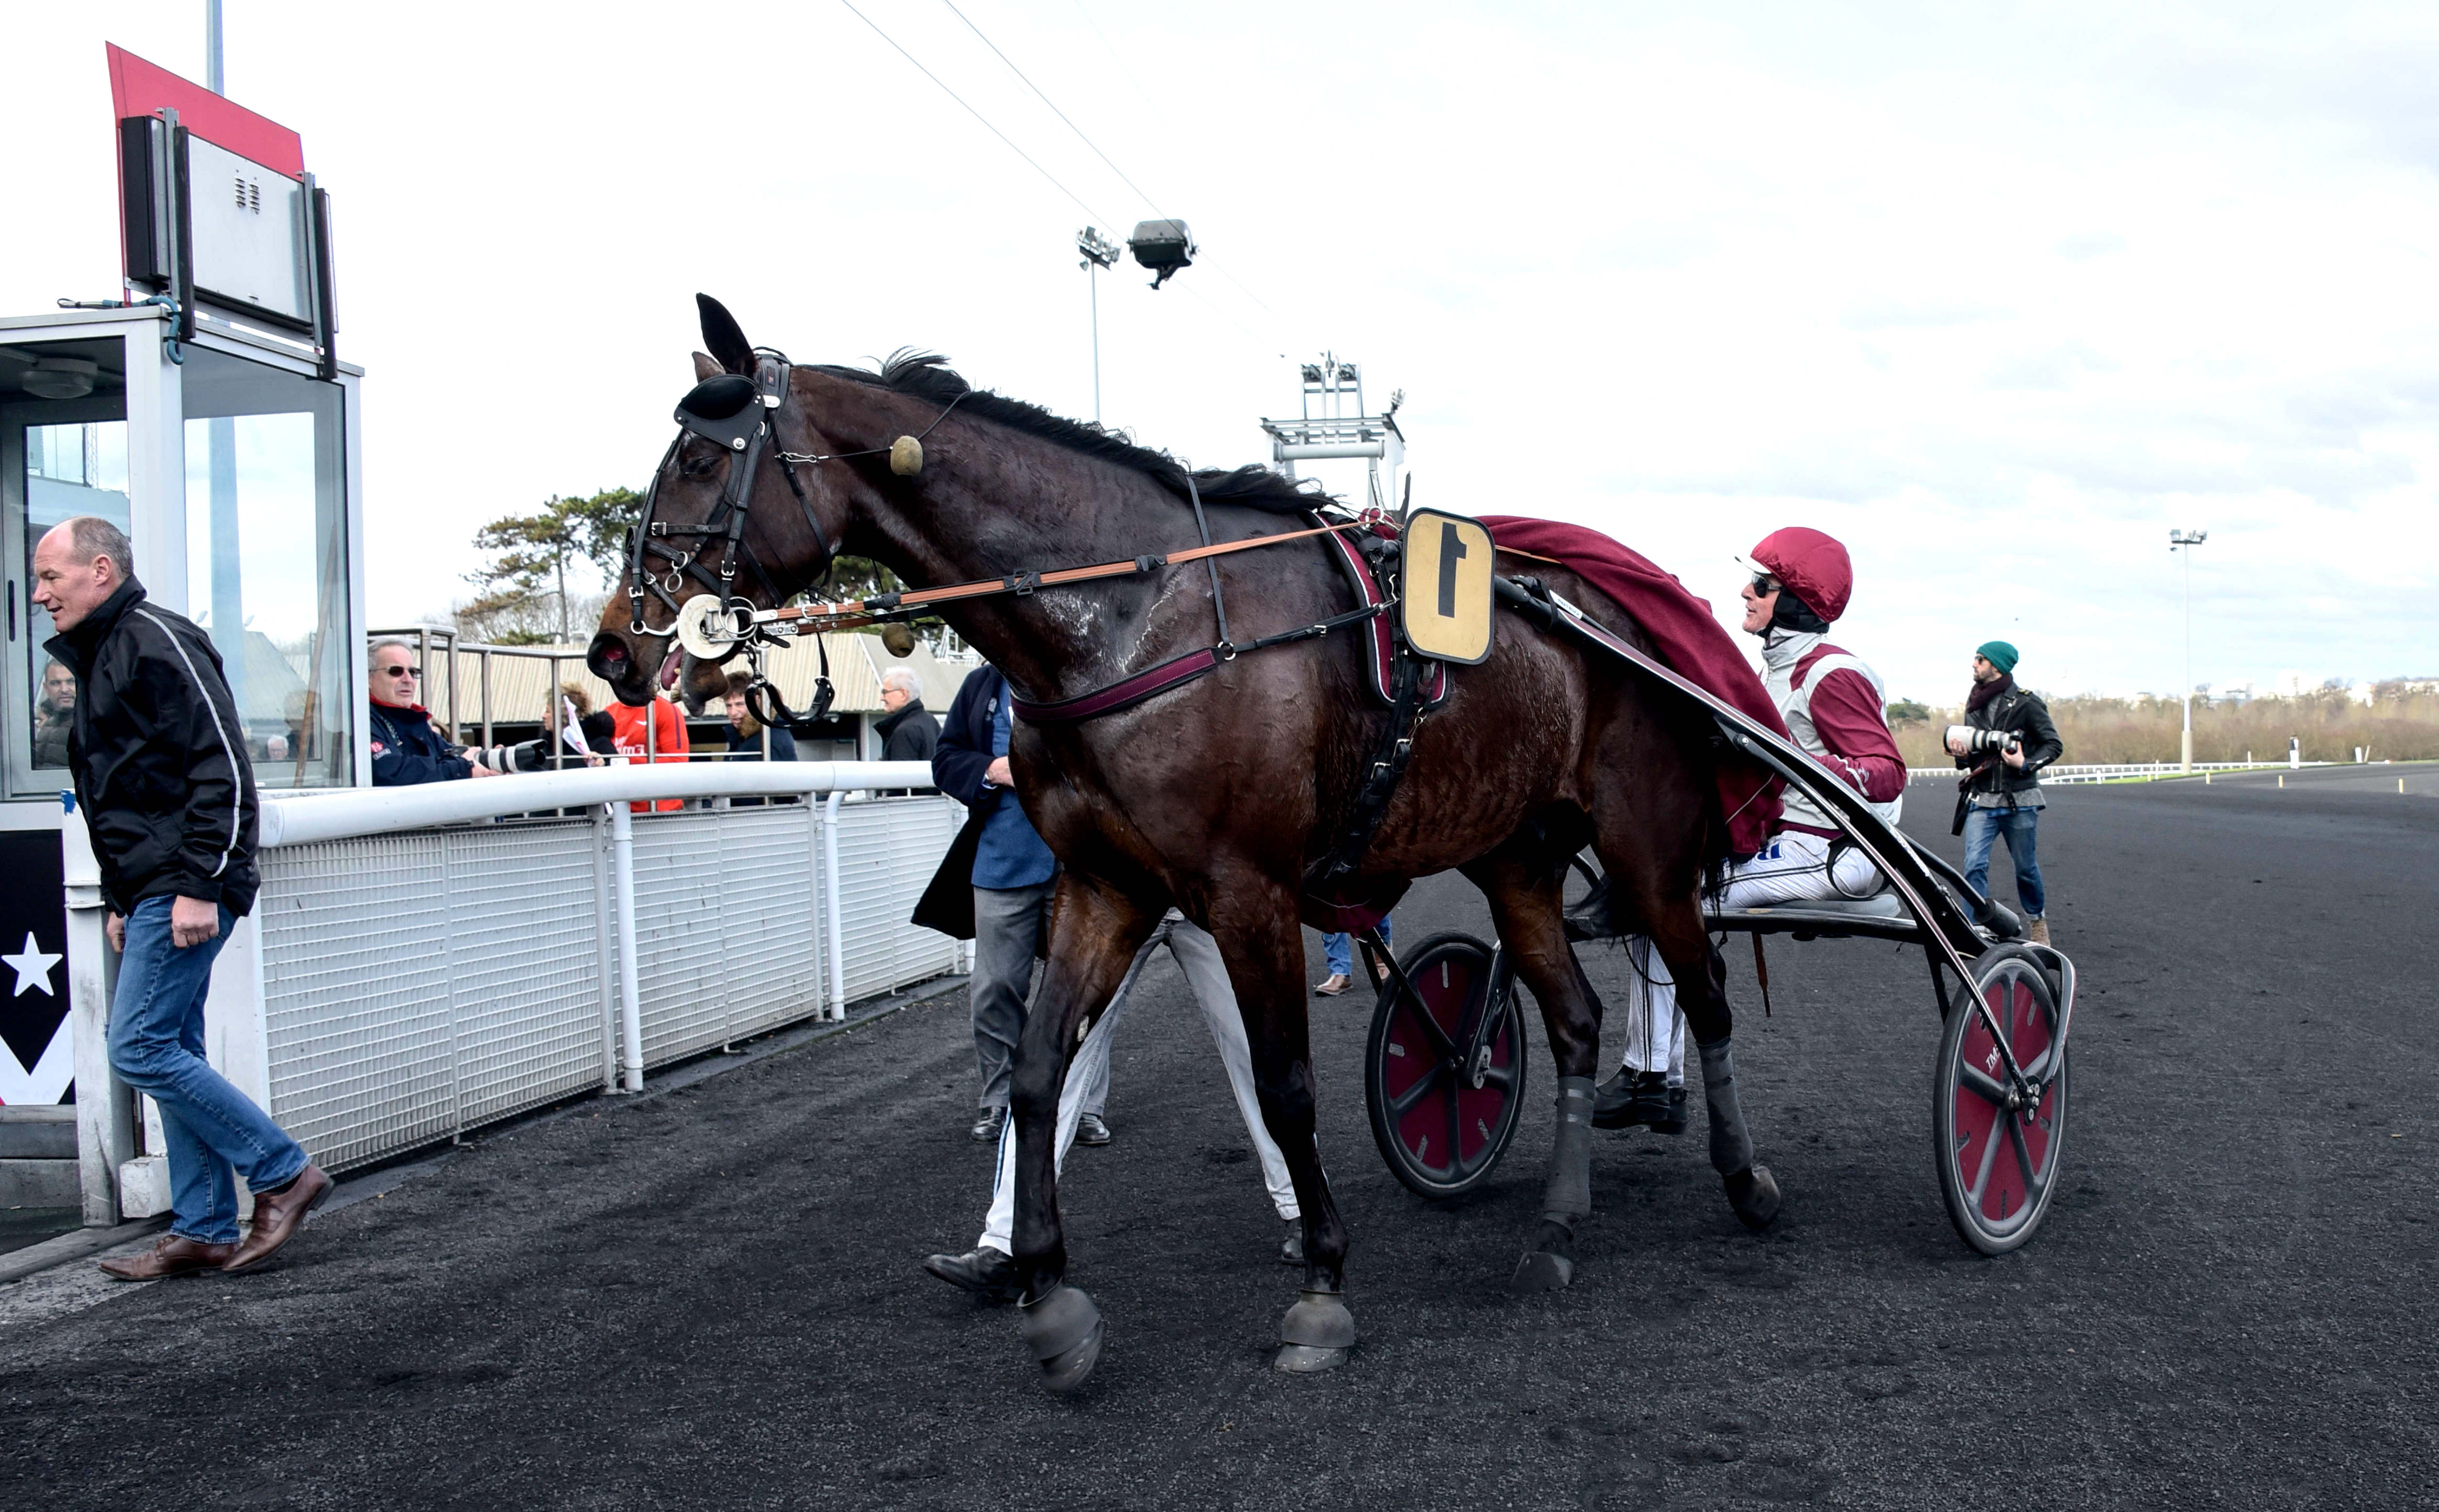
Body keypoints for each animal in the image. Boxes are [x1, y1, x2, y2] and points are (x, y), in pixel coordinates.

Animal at [590, 298, 1775, 1395]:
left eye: (700, 459)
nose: (612, 647)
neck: (1128, 616)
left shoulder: (1248, 890)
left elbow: (1285, 1085)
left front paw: (1322, 1284)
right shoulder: (1103, 885)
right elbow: (1037, 1072)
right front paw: (1044, 1287)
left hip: (1646, 848)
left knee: (1705, 993)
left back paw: (1745, 1178)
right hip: (1514, 854)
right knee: (1573, 1020)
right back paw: (1556, 1231)